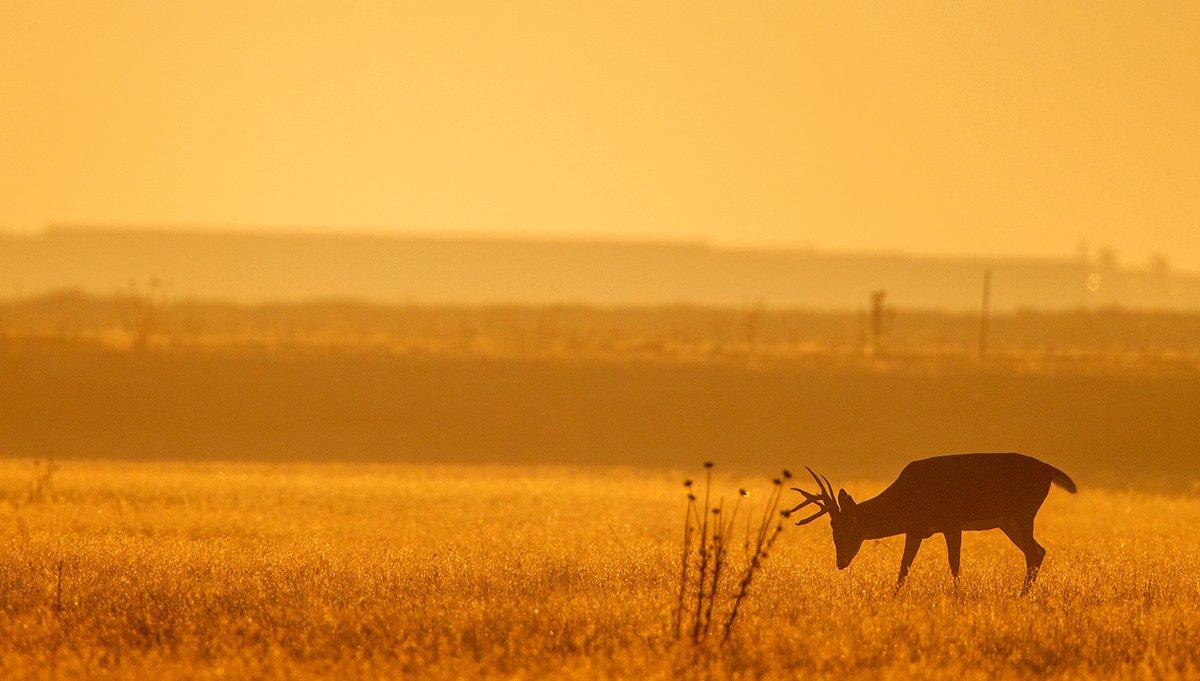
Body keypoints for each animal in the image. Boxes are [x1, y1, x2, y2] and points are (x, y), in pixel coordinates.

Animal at [787, 455, 1080, 592]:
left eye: (842, 528)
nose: (841, 562)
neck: (906, 500)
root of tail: (1050, 471)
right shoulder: (916, 530)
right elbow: (903, 568)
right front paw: (893, 598)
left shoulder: (952, 522)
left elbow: (955, 565)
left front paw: (957, 597)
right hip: (1010, 521)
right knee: (1037, 551)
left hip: (1022, 513)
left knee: (1034, 552)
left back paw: (1021, 596)